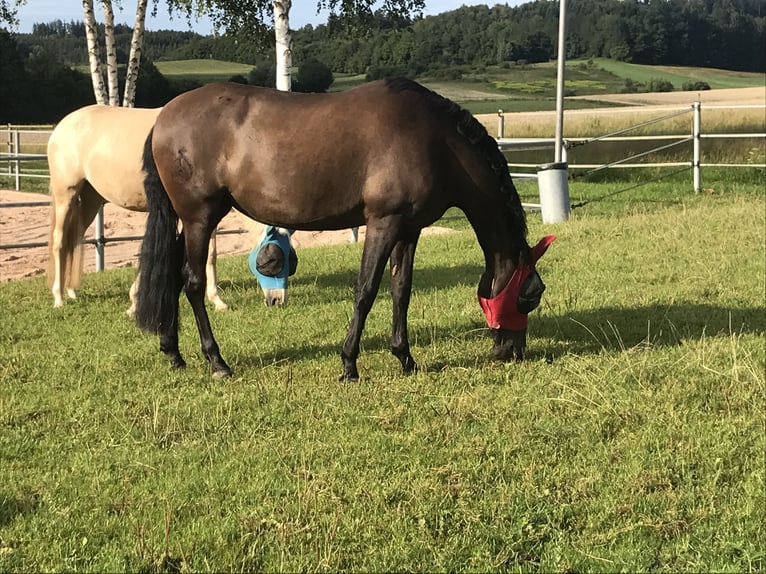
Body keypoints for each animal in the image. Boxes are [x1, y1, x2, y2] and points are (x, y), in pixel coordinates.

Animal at [45, 106, 228, 318]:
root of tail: (61, 127)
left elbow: (211, 254)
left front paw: (217, 300)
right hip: (65, 195)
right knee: (59, 241)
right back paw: (58, 297)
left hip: (90, 200)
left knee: (73, 241)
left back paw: (71, 291)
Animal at [138, 77, 556, 382]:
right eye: (532, 294)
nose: (513, 352)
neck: (435, 140)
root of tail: (162, 119)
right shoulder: (383, 223)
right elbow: (366, 290)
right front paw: (349, 364)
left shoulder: (408, 229)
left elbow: (401, 290)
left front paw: (405, 359)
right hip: (200, 217)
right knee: (192, 282)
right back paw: (217, 362)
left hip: (192, 219)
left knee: (171, 274)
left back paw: (173, 353)